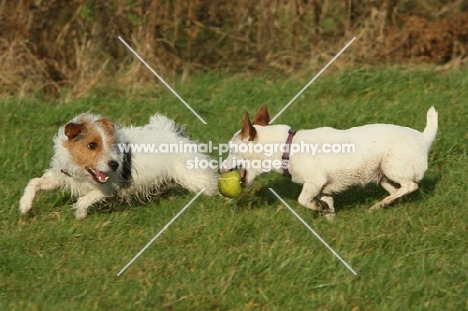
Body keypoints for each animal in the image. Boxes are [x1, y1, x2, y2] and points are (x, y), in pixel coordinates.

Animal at [19, 112, 218, 219]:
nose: (115, 164)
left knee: (212, 186)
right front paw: (25, 205)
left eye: (111, 143)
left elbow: (85, 198)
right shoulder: (60, 175)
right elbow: (34, 182)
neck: (82, 173)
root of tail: (177, 134)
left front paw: (80, 213)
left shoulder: (108, 187)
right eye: (92, 145)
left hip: (194, 177)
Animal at [219, 105, 438, 219]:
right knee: (398, 190)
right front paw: (327, 217)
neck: (286, 148)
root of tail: (423, 138)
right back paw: (384, 204)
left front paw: (316, 208)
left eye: (231, 150)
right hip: (382, 176)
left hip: (391, 166)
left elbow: (302, 200)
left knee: (411, 186)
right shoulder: (324, 190)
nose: (220, 169)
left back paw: (380, 204)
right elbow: (329, 209)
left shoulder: (314, 183)